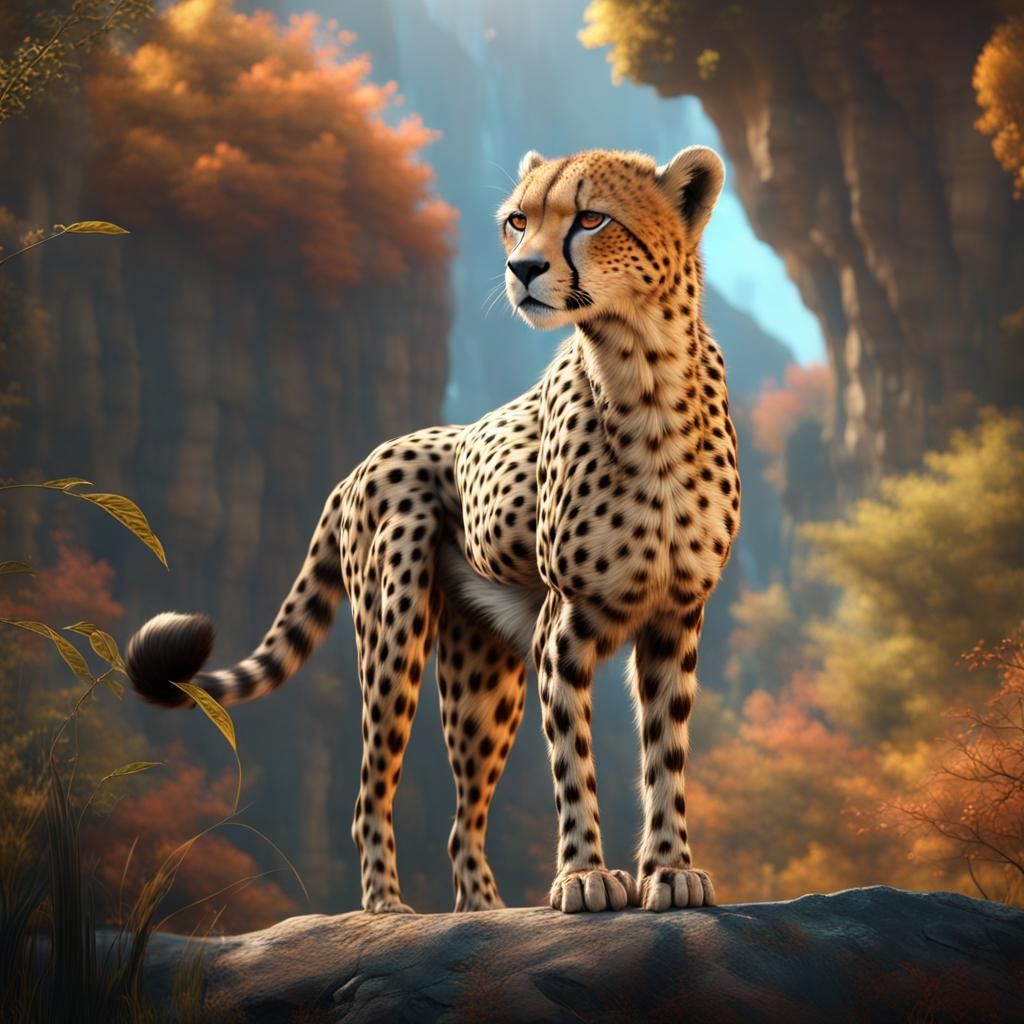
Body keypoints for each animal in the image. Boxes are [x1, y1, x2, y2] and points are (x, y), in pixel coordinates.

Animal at [125, 144, 740, 916]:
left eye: (592, 219)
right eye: (517, 220)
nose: (523, 269)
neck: (644, 371)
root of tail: (367, 459)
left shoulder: (674, 618)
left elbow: (666, 755)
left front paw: (671, 869)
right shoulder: (563, 626)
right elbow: (574, 762)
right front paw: (583, 876)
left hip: (484, 679)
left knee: (461, 819)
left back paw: (482, 909)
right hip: (395, 633)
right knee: (370, 793)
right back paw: (386, 907)